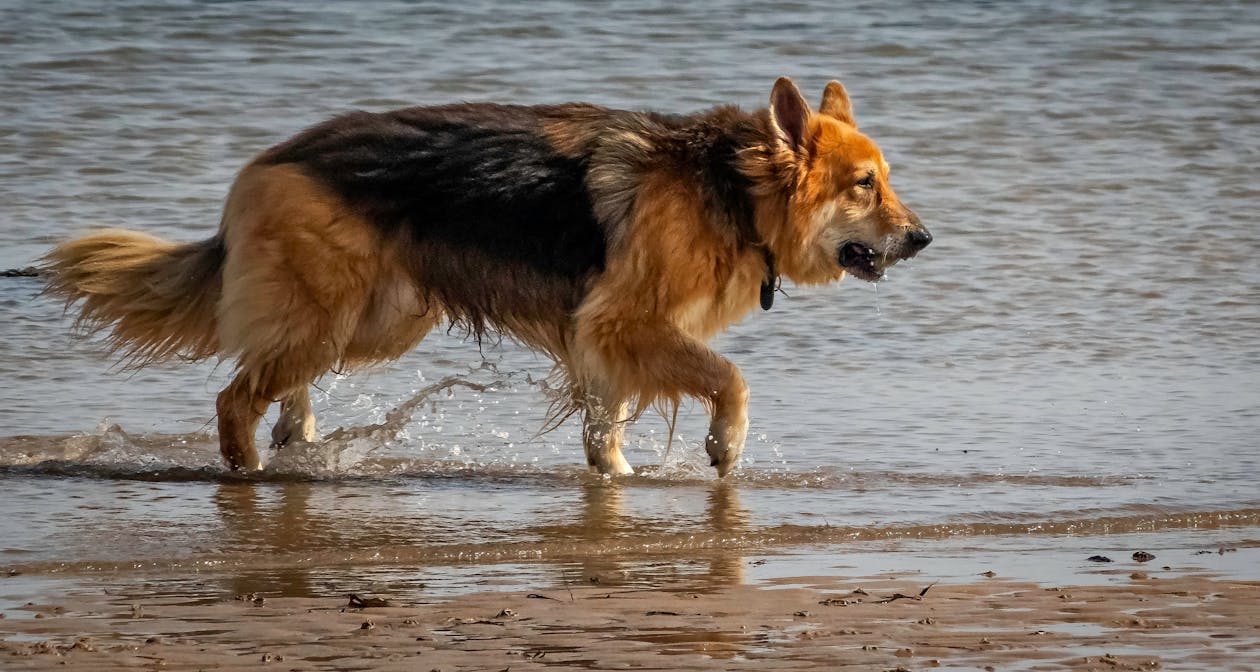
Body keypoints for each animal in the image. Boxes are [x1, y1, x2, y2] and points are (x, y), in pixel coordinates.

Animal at [41, 78, 927, 474]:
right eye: (864, 186)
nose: (923, 239)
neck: (735, 191)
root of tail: (267, 162)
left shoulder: (604, 342)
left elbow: (605, 425)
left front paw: (612, 482)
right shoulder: (626, 324)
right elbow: (730, 378)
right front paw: (723, 443)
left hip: (372, 323)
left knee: (275, 383)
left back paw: (300, 442)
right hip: (336, 319)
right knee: (234, 397)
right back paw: (249, 472)